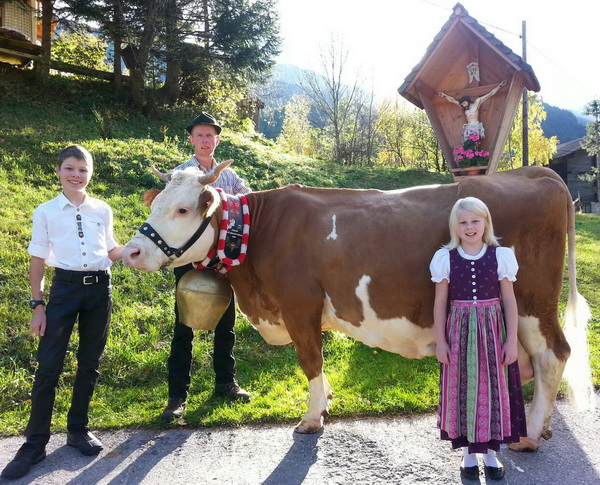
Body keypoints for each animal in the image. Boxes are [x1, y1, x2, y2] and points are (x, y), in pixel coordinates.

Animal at [119, 164, 592, 450]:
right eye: (155, 204)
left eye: (182, 209)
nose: (131, 252)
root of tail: (535, 171)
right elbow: (317, 363)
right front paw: (327, 399)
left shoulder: (299, 304)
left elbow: (309, 360)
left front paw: (312, 417)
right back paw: (540, 424)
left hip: (531, 303)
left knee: (554, 354)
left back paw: (529, 435)